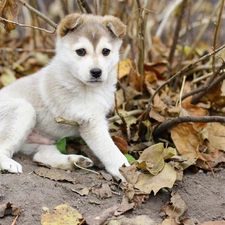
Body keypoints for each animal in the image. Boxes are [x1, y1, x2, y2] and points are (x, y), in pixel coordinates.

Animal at [0, 13, 129, 179]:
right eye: (81, 51)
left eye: (106, 51)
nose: (96, 72)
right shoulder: (91, 122)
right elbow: (111, 151)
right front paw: (127, 170)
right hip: (23, 110)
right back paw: (9, 164)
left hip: (43, 141)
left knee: (41, 156)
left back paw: (75, 161)